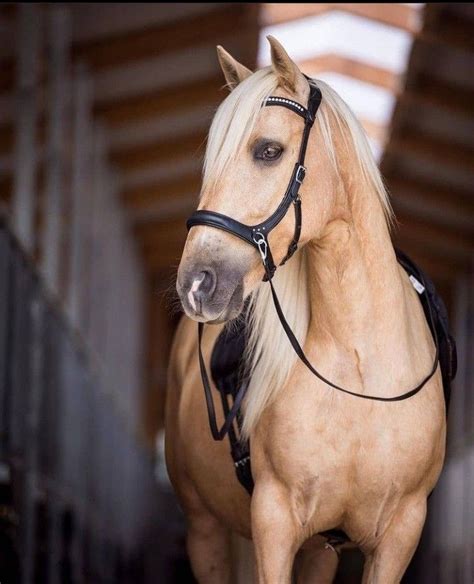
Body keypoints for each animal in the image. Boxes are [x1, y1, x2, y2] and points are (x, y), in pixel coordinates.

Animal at [165, 37, 446, 584]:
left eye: (268, 151)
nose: (196, 284)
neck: (360, 368)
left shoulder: (398, 534)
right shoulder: (274, 523)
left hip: (319, 551)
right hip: (204, 530)